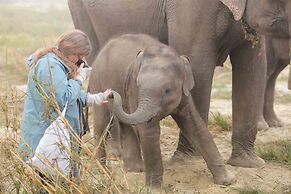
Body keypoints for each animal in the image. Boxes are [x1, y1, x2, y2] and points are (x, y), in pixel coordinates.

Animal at [69, 0, 291, 167]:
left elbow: (253, 67)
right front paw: (188, 160)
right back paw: (116, 152)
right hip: (83, 14)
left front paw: (249, 163)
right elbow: (198, 64)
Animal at [89, 34, 235, 189]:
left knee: (125, 126)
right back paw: (101, 170)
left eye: (167, 90)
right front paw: (154, 189)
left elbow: (195, 125)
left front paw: (227, 181)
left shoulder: (184, 93)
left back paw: (135, 170)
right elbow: (149, 131)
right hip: (97, 81)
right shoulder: (134, 91)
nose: (111, 94)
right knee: (102, 124)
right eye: (139, 85)